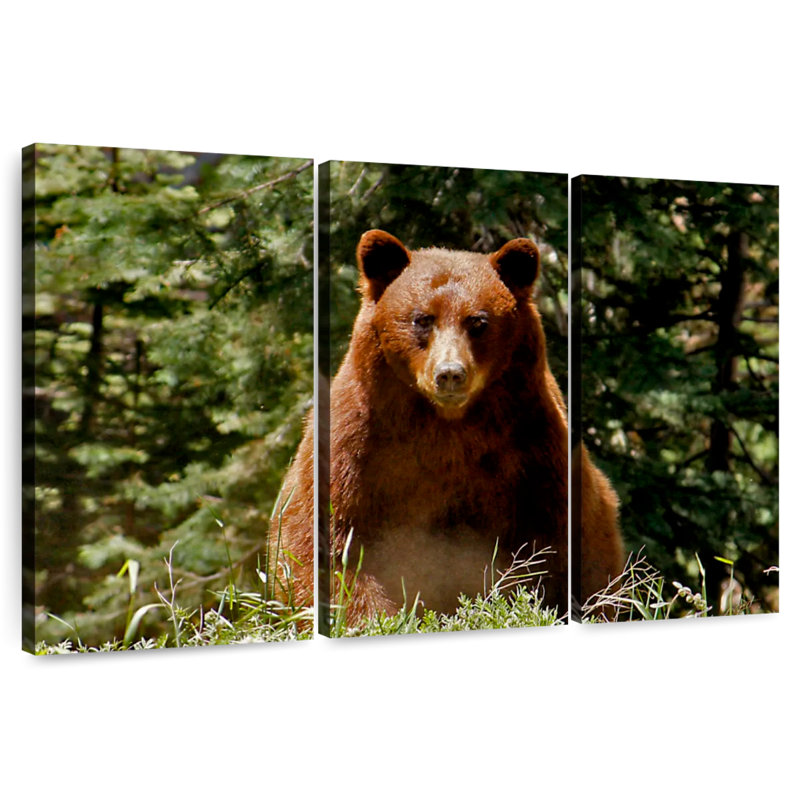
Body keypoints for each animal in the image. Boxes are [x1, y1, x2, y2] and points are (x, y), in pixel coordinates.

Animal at [271, 229, 624, 626]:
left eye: (478, 322)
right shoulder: (356, 447)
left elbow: (548, 552)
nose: (450, 373)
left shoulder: (531, 452)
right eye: (422, 319)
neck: (446, 425)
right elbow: (331, 547)